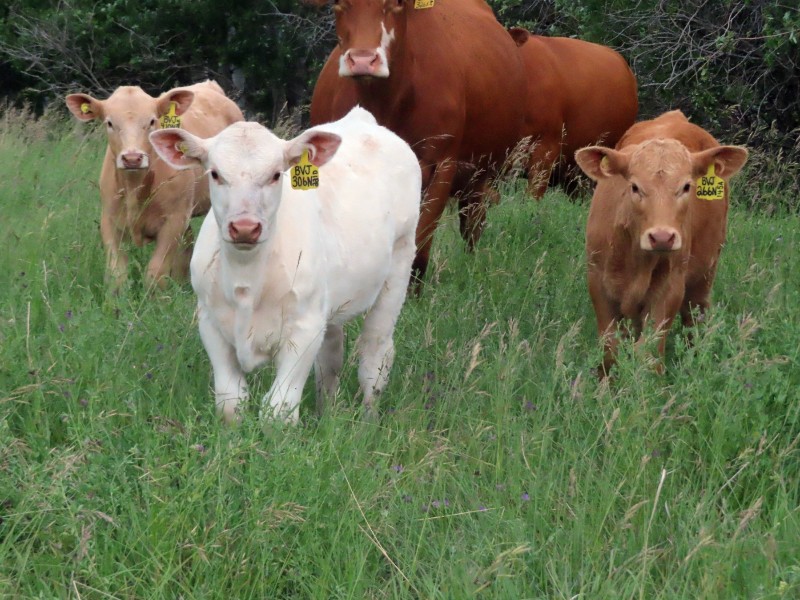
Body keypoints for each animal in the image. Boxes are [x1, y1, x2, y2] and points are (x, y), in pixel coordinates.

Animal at [65, 80, 244, 290]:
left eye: (152, 121)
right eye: (109, 123)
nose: (132, 158)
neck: (135, 189)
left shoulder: (173, 220)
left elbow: (155, 272)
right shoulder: (109, 220)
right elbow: (118, 273)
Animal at [149, 107, 421, 426]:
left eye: (276, 174)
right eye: (215, 173)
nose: (244, 227)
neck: (247, 278)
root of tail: (362, 119)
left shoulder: (305, 329)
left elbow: (278, 409)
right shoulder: (210, 321)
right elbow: (231, 401)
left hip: (400, 264)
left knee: (375, 355)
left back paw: (367, 420)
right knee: (331, 357)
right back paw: (326, 412)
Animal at [308, 0, 528, 286]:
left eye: (396, 4)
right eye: (338, 3)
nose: (363, 61)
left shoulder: (443, 165)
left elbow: (421, 246)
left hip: (481, 176)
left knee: (472, 223)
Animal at [574, 110, 748, 375]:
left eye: (686, 186)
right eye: (634, 186)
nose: (662, 237)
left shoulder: (670, 288)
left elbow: (649, 354)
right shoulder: (597, 283)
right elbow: (610, 350)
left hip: (704, 275)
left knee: (694, 320)